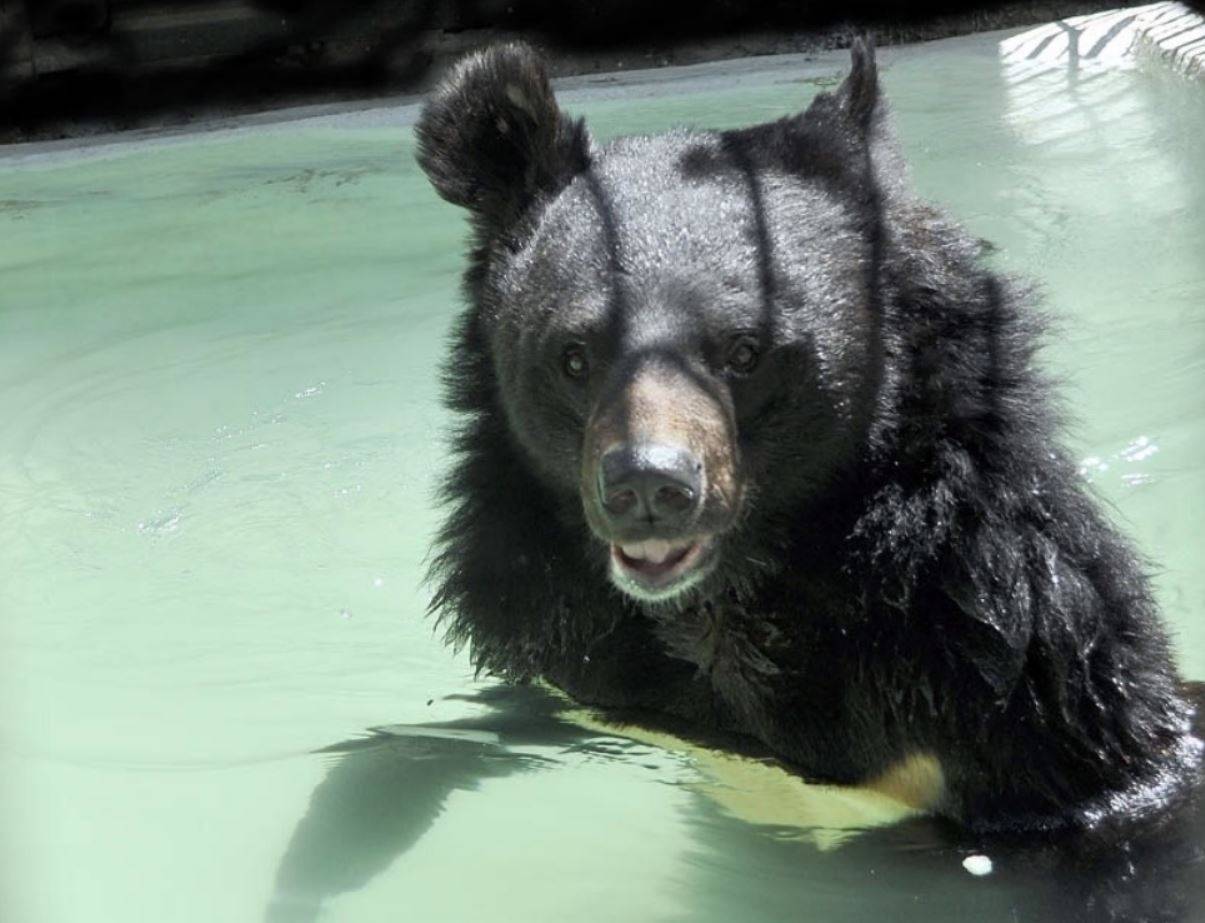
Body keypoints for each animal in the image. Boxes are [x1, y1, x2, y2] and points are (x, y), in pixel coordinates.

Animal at [414, 39, 1195, 833]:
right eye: (575, 356)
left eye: (744, 350)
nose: (649, 487)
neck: (724, 602)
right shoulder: (558, 644)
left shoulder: (992, 650)